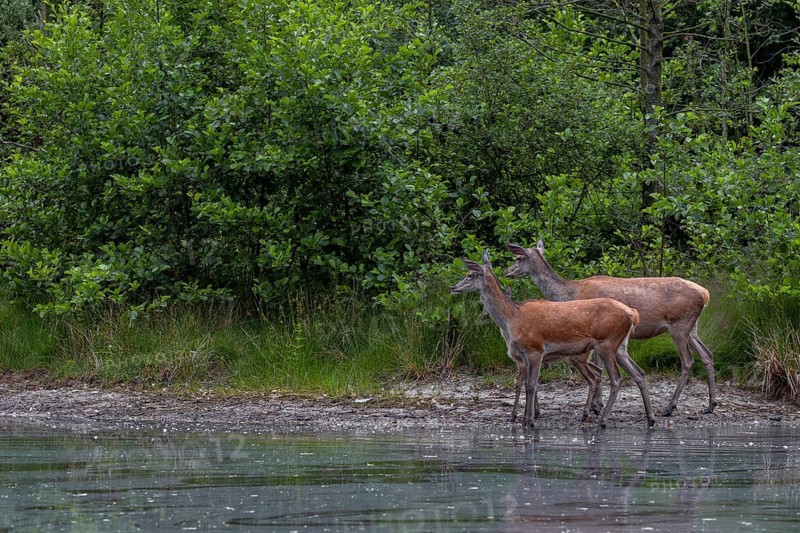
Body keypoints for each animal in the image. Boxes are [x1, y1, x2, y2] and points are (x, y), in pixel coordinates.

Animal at [451, 250, 655, 429]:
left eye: (470, 274)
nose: (453, 287)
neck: (513, 318)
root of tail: (632, 313)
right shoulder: (525, 356)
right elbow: (526, 384)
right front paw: (525, 418)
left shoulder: (535, 349)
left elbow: (531, 385)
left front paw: (529, 421)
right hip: (620, 346)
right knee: (638, 373)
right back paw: (650, 418)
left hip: (606, 343)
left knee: (616, 379)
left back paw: (602, 420)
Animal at [505, 240, 717, 417]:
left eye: (518, 258)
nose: (507, 272)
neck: (571, 293)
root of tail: (705, 294)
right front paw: (596, 404)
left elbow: (599, 368)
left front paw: (596, 405)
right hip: (692, 327)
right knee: (707, 354)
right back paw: (710, 405)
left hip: (679, 325)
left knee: (688, 362)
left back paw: (669, 407)